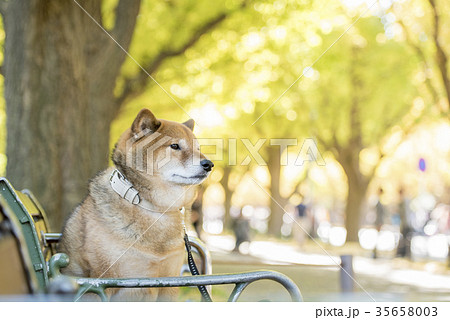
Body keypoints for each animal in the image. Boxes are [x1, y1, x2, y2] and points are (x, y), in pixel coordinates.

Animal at [59, 109, 213, 302]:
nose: (209, 164)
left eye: (198, 149)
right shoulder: (101, 282)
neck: (156, 209)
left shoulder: (170, 282)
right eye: (175, 146)